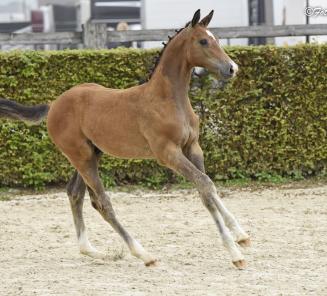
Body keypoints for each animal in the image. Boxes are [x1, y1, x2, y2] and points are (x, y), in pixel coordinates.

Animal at [0, 9, 250, 270]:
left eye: (217, 39)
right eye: (203, 41)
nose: (232, 68)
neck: (168, 99)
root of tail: (53, 105)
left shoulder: (193, 147)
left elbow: (208, 188)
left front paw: (241, 235)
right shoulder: (168, 153)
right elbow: (204, 185)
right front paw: (234, 253)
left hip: (91, 154)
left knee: (76, 194)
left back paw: (93, 251)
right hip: (82, 157)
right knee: (102, 202)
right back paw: (143, 254)